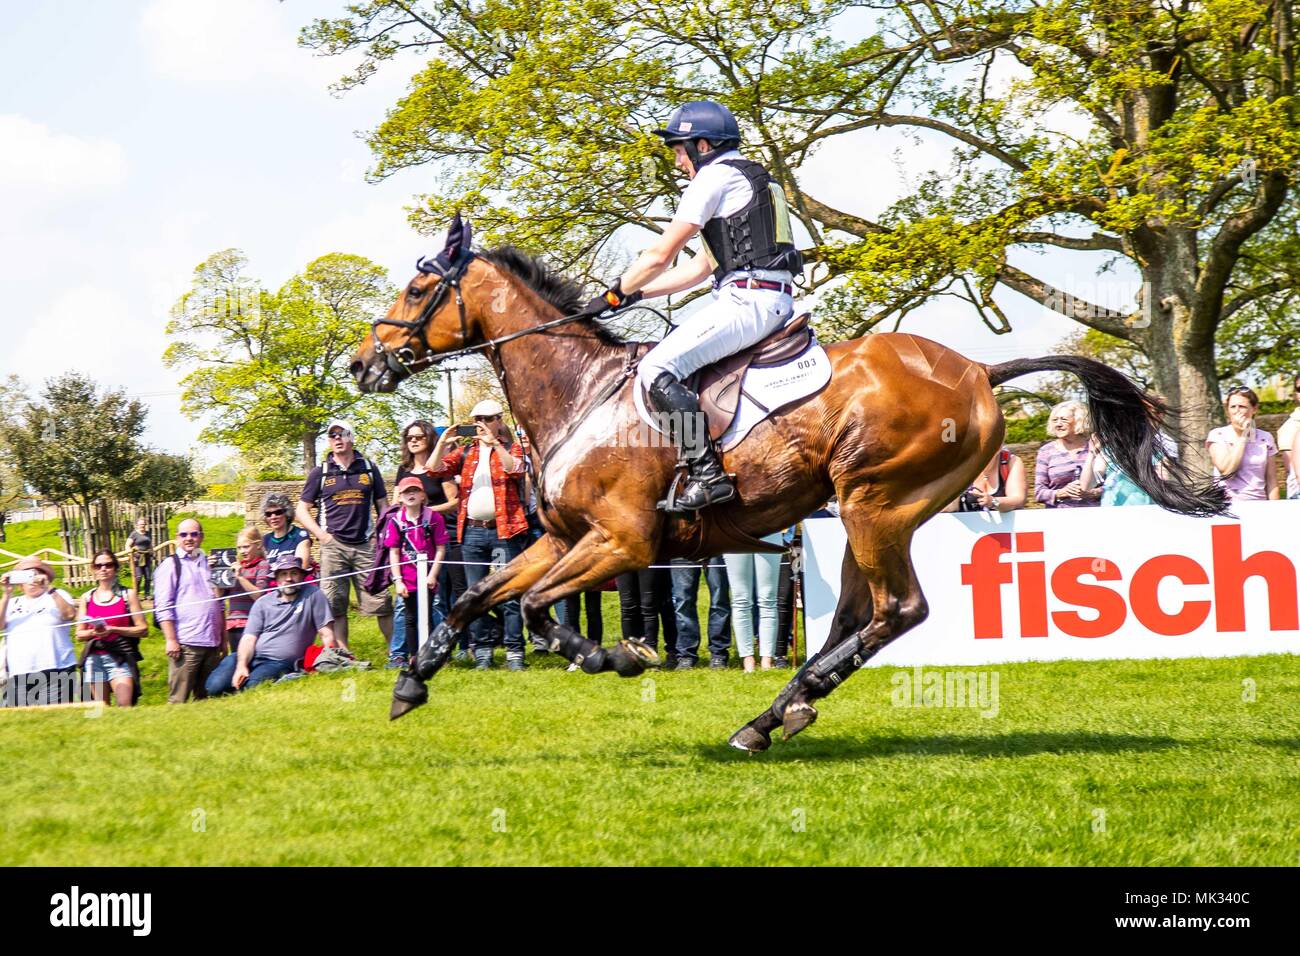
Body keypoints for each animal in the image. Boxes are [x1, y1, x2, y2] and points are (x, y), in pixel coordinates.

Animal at [351, 221, 1222, 749]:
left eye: (417, 291)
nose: (363, 365)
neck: (584, 391)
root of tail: (979, 368)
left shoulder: (623, 542)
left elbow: (534, 608)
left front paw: (617, 658)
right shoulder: (565, 539)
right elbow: (475, 595)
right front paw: (411, 684)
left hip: (874, 503)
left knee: (899, 611)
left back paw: (777, 710)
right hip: (874, 514)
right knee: (857, 616)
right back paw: (780, 710)